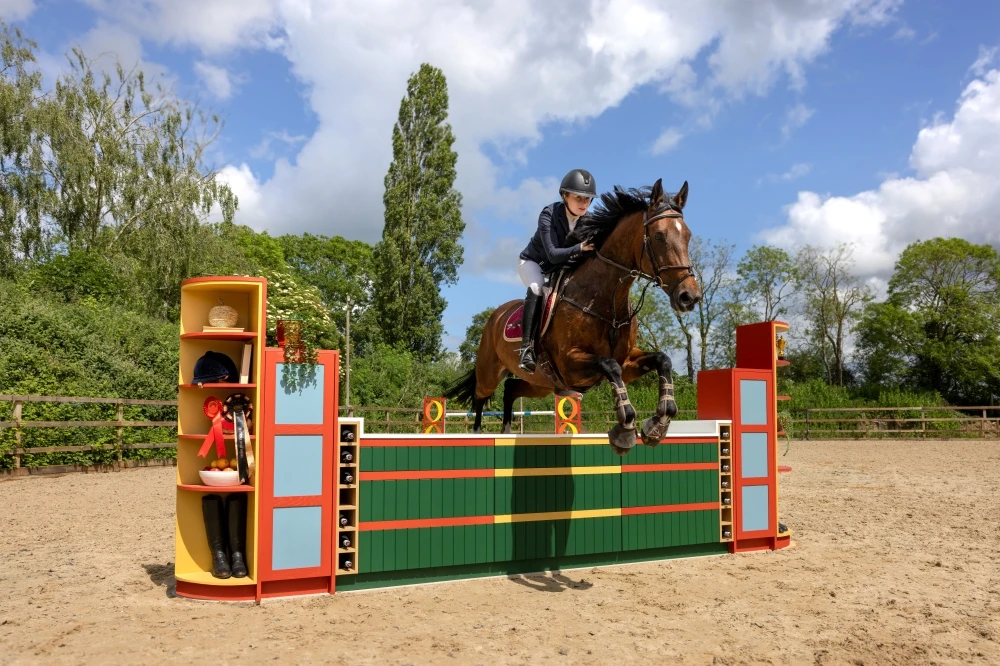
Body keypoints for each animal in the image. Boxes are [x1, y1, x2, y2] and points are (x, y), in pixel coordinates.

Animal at [446, 179, 704, 454]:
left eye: (687, 236)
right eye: (658, 236)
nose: (689, 296)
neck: (606, 299)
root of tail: (496, 314)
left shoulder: (626, 361)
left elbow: (662, 360)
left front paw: (658, 424)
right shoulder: (570, 364)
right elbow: (609, 365)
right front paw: (625, 430)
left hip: (539, 383)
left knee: (510, 389)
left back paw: (506, 431)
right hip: (490, 371)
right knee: (480, 397)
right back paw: (477, 434)